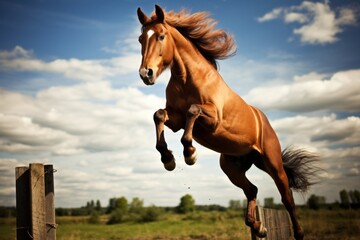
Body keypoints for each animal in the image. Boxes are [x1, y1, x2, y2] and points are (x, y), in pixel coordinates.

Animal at [136, 5, 320, 240]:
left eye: (161, 36)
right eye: (141, 38)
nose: (146, 74)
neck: (187, 78)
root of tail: (264, 121)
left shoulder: (213, 119)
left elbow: (193, 110)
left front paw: (190, 154)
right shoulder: (175, 119)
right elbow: (158, 115)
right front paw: (168, 159)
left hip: (273, 163)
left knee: (287, 198)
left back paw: (297, 233)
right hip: (232, 166)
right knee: (252, 190)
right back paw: (258, 227)